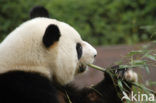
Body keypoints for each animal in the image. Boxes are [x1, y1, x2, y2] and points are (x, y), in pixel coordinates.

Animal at [0, 6, 138, 103]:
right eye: (78, 48)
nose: (95, 54)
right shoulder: (26, 87)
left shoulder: (60, 87)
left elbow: (89, 99)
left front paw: (120, 75)